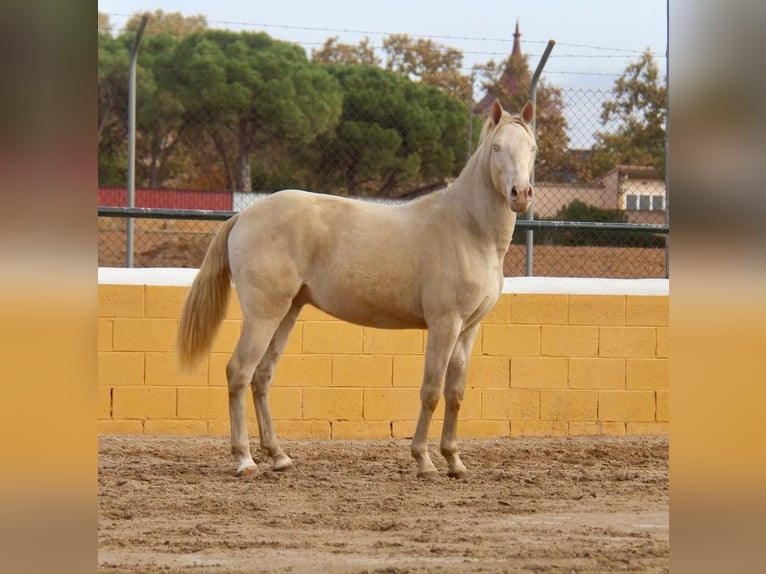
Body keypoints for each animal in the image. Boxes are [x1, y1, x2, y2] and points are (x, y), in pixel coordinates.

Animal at [177, 99, 537, 479]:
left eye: (532, 148)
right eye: (496, 147)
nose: (520, 194)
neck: (468, 228)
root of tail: (243, 217)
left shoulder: (468, 328)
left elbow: (455, 393)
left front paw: (454, 461)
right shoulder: (445, 324)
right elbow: (431, 391)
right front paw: (424, 461)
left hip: (287, 312)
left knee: (262, 377)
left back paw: (278, 456)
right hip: (263, 314)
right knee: (239, 372)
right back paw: (245, 460)